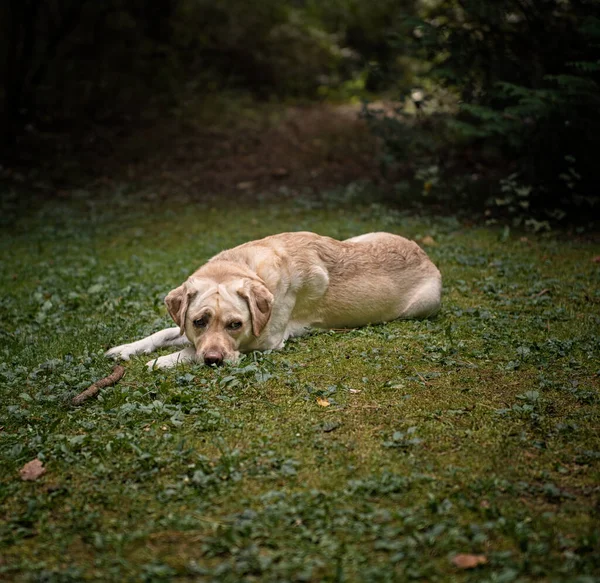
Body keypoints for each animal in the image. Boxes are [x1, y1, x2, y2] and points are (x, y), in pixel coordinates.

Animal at [106, 230, 440, 368]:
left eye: (236, 325)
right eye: (198, 321)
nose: (213, 361)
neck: (245, 268)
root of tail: (426, 254)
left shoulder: (264, 342)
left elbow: (186, 351)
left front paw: (162, 361)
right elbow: (163, 333)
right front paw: (127, 348)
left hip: (422, 306)